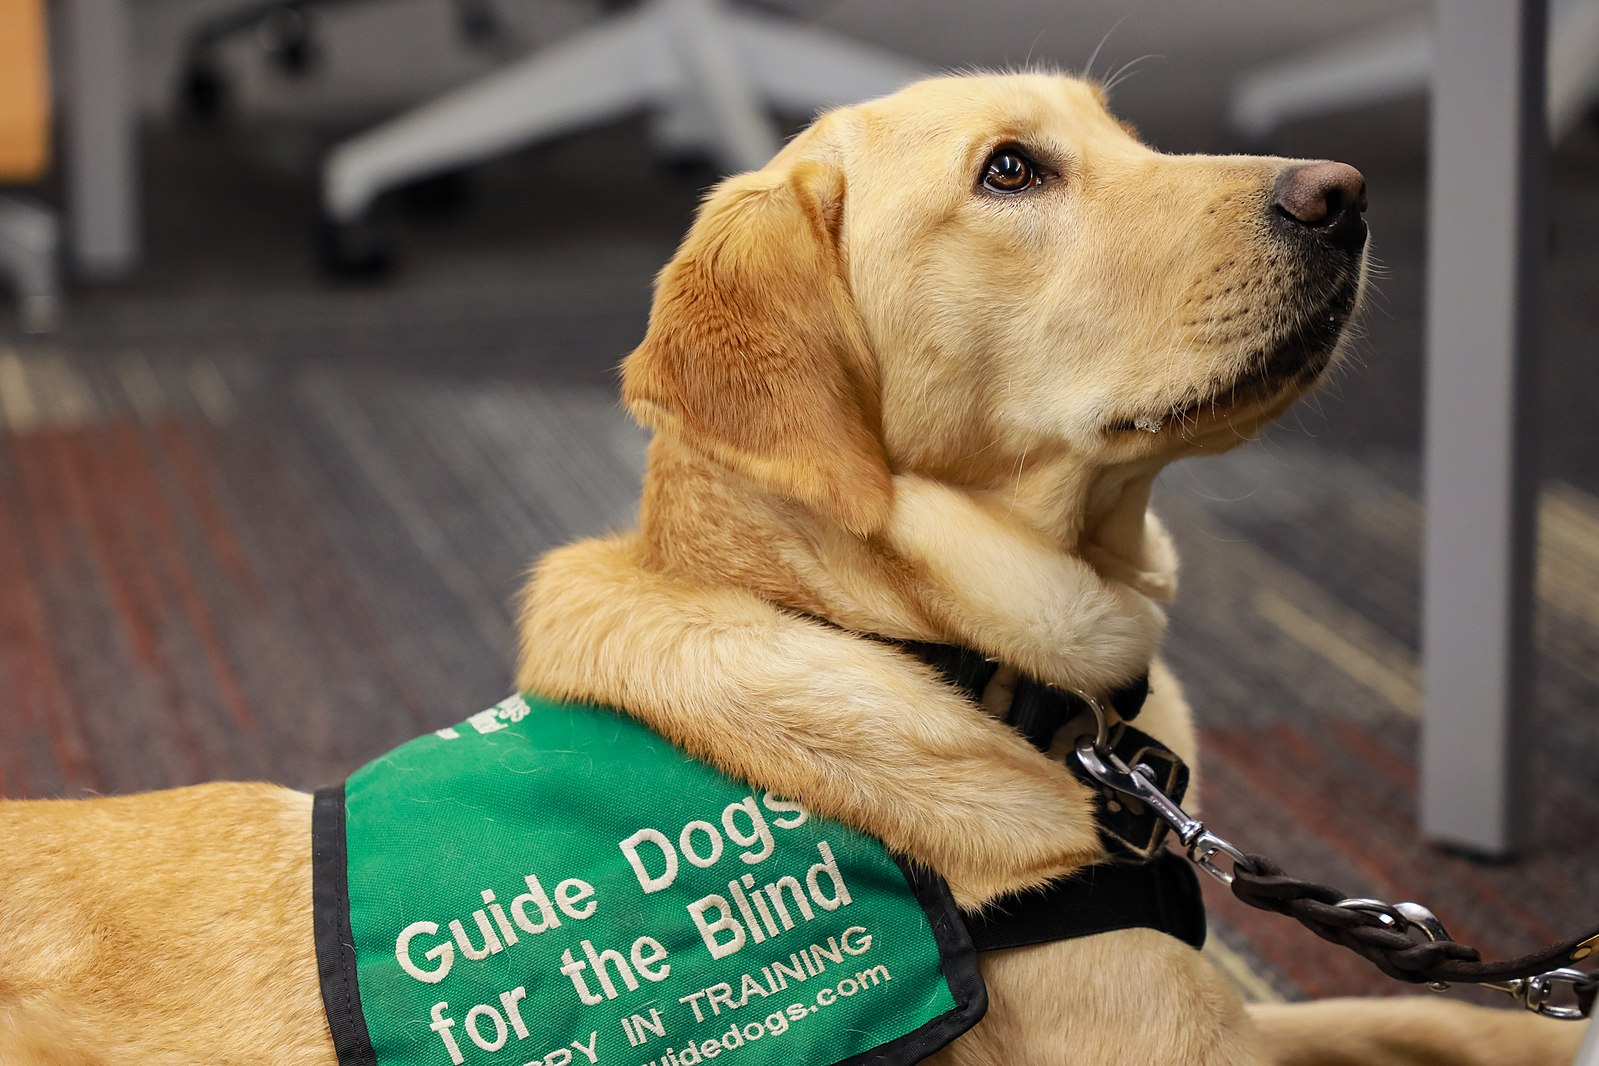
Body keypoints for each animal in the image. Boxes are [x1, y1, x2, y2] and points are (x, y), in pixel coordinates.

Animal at [0, 75, 1579, 1066]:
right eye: (1011, 169)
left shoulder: (1241, 1012)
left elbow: (1423, 1013)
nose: (1341, 192)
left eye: (1123, 139)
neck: (953, 666)